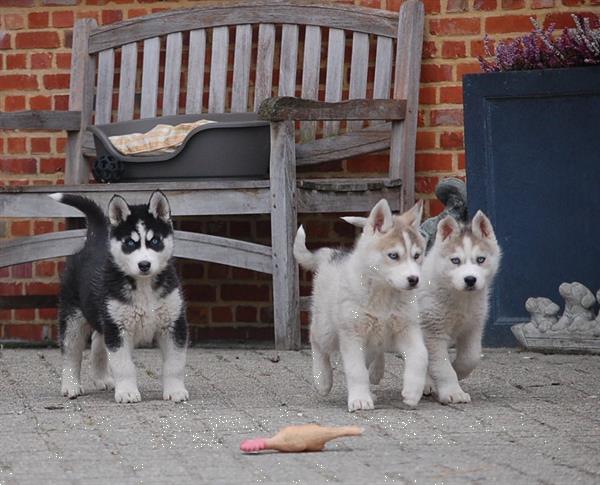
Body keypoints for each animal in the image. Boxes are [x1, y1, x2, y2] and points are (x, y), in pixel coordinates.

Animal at [50, 191, 189, 402]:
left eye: (155, 241)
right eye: (130, 243)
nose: (144, 265)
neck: (143, 285)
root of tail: (94, 240)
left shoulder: (173, 324)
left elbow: (175, 364)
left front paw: (175, 391)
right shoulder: (118, 330)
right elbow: (124, 366)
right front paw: (127, 392)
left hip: (105, 315)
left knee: (98, 341)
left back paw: (102, 378)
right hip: (73, 317)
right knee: (70, 352)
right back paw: (71, 386)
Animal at [294, 199, 426, 410]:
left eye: (416, 255)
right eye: (394, 255)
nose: (414, 279)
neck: (383, 295)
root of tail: (334, 253)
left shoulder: (407, 327)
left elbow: (421, 356)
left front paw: (413, 392)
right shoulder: (352, 334)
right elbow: (356, 370)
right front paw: (360, 400)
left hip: (372, 340)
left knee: (375, 353)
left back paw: (376, 373)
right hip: (327, 329)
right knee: (316, 340)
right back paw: (323, 380)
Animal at [418, 210, 502, 402]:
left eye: (481, 259)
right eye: (455, 260)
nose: (470, 279)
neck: (461, 299)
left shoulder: (473, 327)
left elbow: (471, 357)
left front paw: (457, 371)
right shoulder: (433, 332)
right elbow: (442, 366)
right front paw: (453, 392)